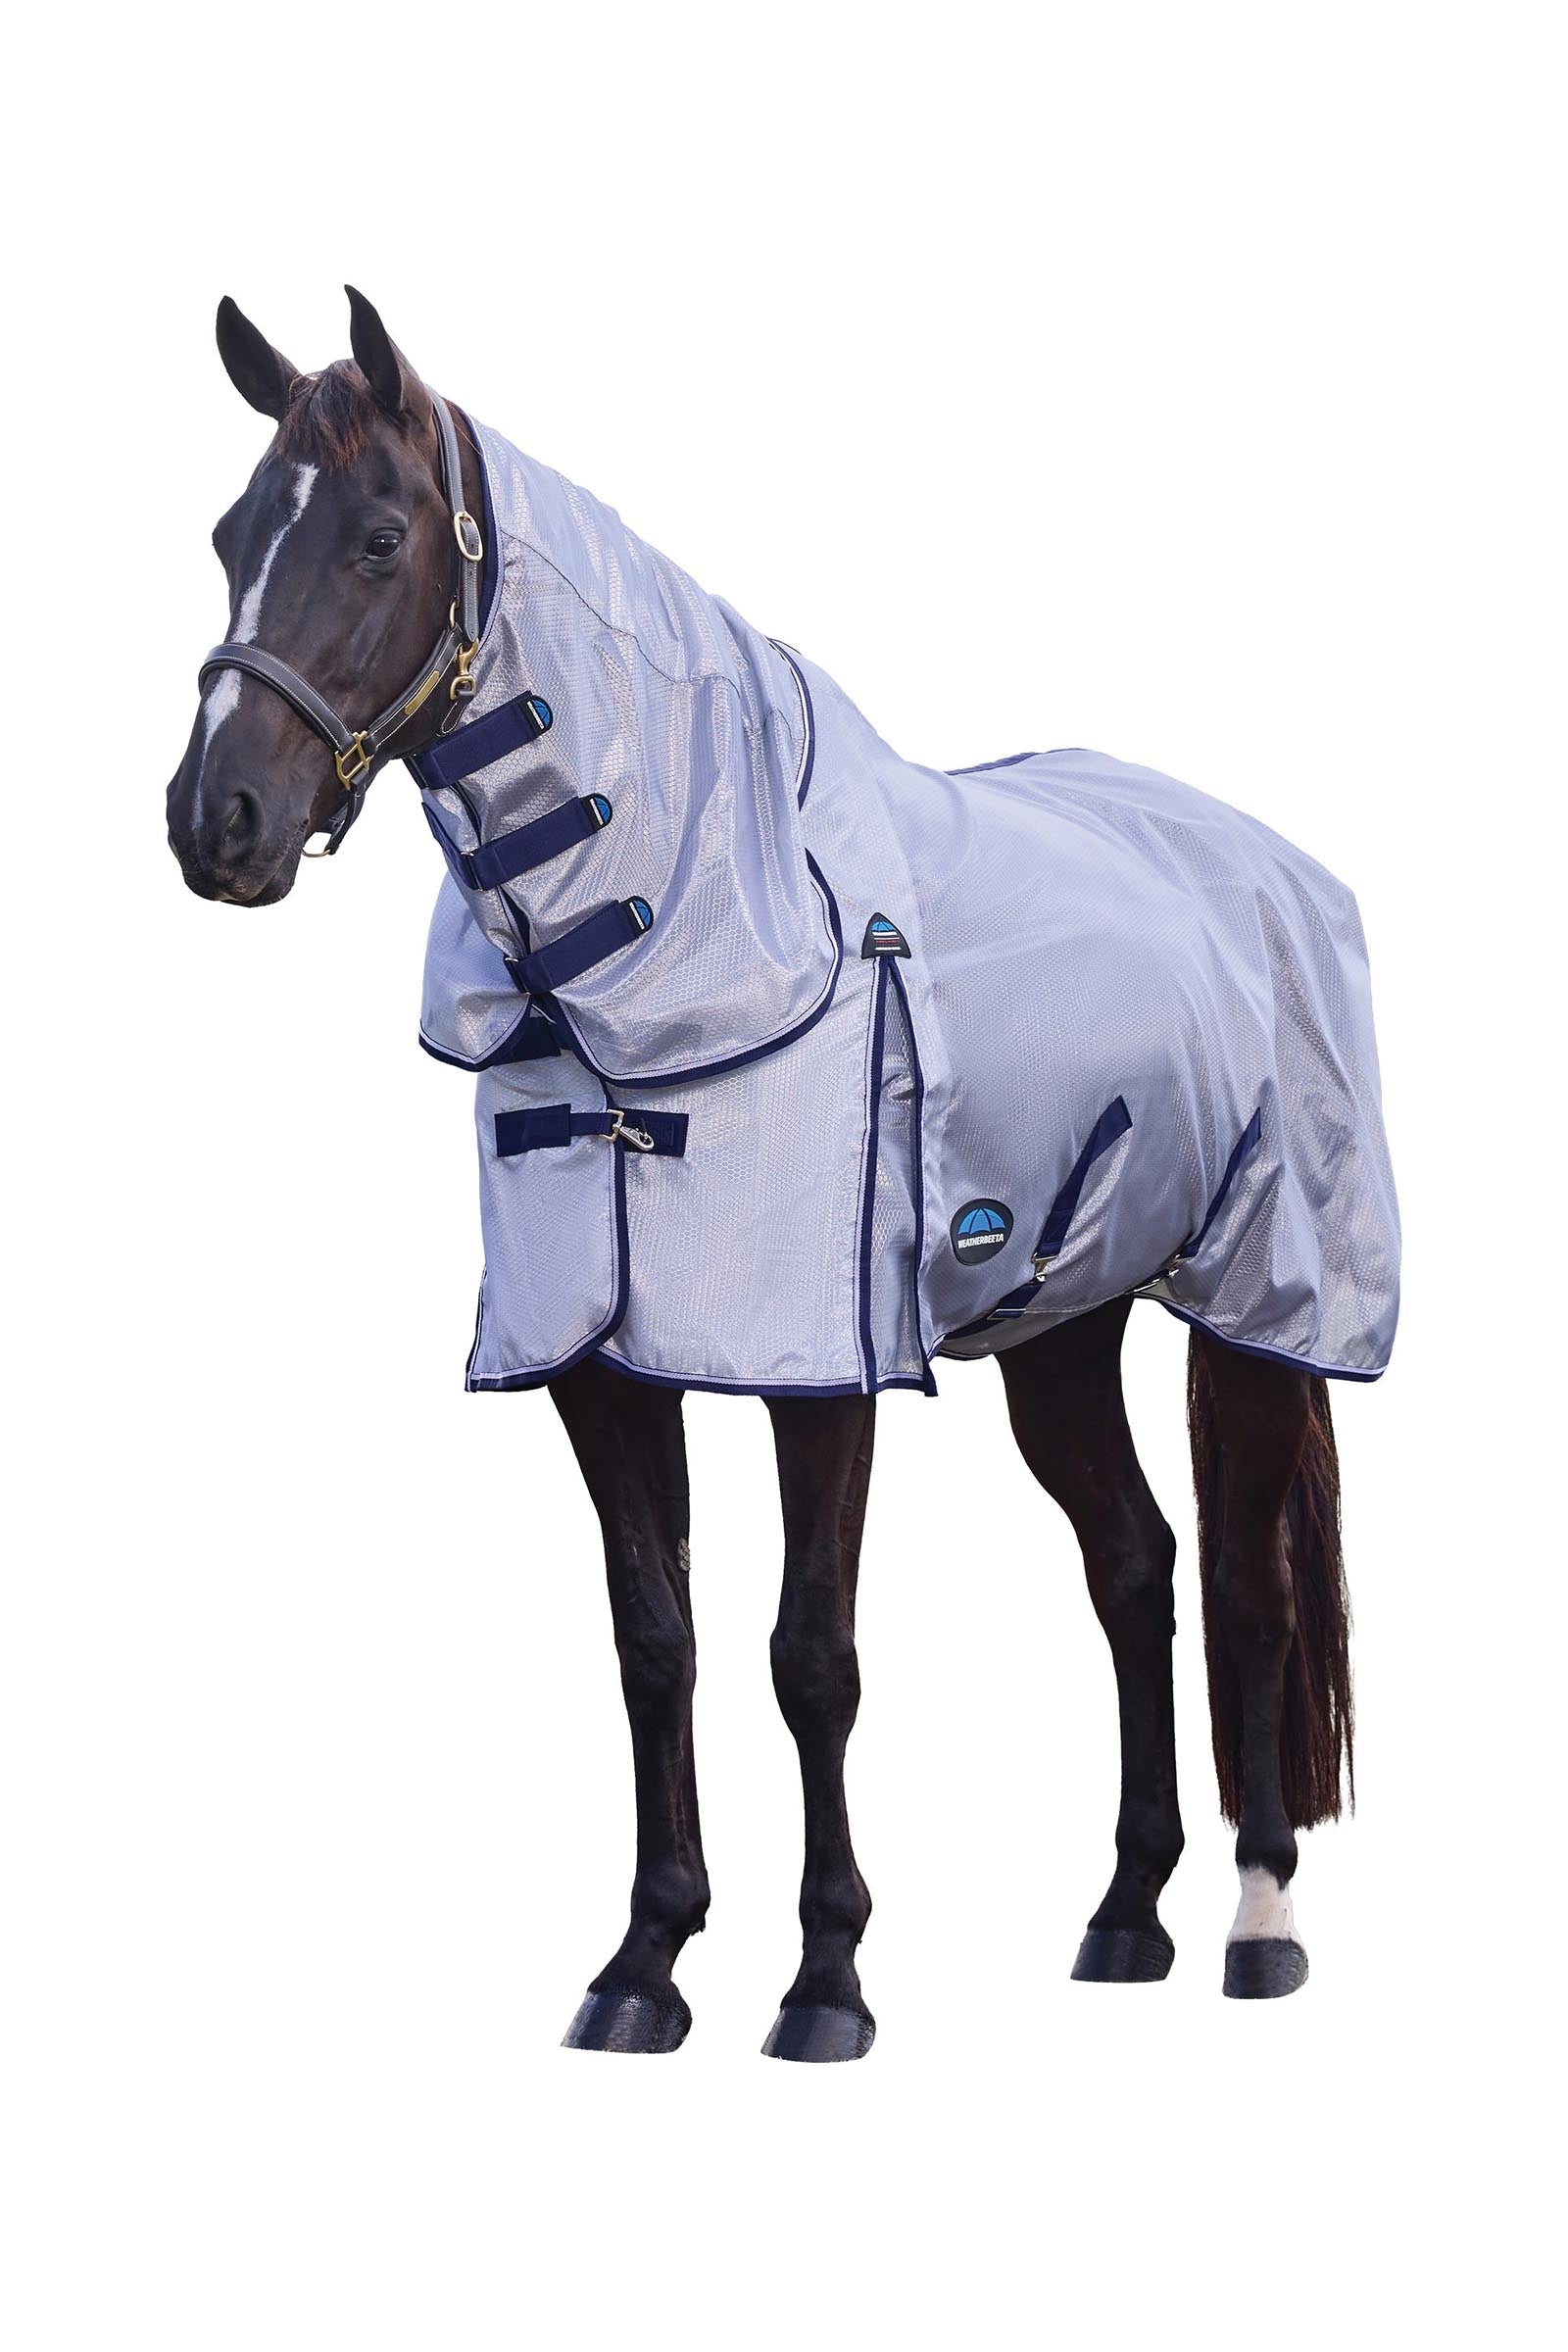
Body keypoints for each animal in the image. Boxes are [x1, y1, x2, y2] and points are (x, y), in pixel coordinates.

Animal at [166, 289, 1392, 2059]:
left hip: (1258, 1308)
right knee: (1135, 1569)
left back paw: (1258, 1919)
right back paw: (1123, 1915)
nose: (218, 823)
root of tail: (1266, 864)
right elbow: (654, 1642)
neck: (680, 935)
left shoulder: (823, 1365)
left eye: (379, 538)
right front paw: (643, 1963)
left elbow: (812, 1656)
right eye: (230, 534)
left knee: (1249, 1582)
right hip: (1060, 1326)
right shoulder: (597, 1364)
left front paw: (826, 1981)